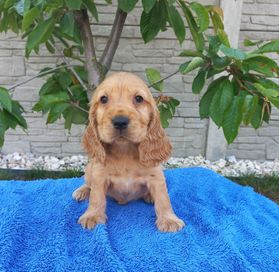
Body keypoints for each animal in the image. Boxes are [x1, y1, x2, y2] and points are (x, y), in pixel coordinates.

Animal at [72, 71, 186, 232]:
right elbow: (96, 197)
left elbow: (164, 199)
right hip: (90, 168)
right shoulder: (99, 175)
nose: (120, 121)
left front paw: (169, 219)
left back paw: (149, 196)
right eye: (103, 99)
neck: (124, 150)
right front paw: (92, 215)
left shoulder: (156, 176)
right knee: (88, 184)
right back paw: (82, 191)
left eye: (139, 98)